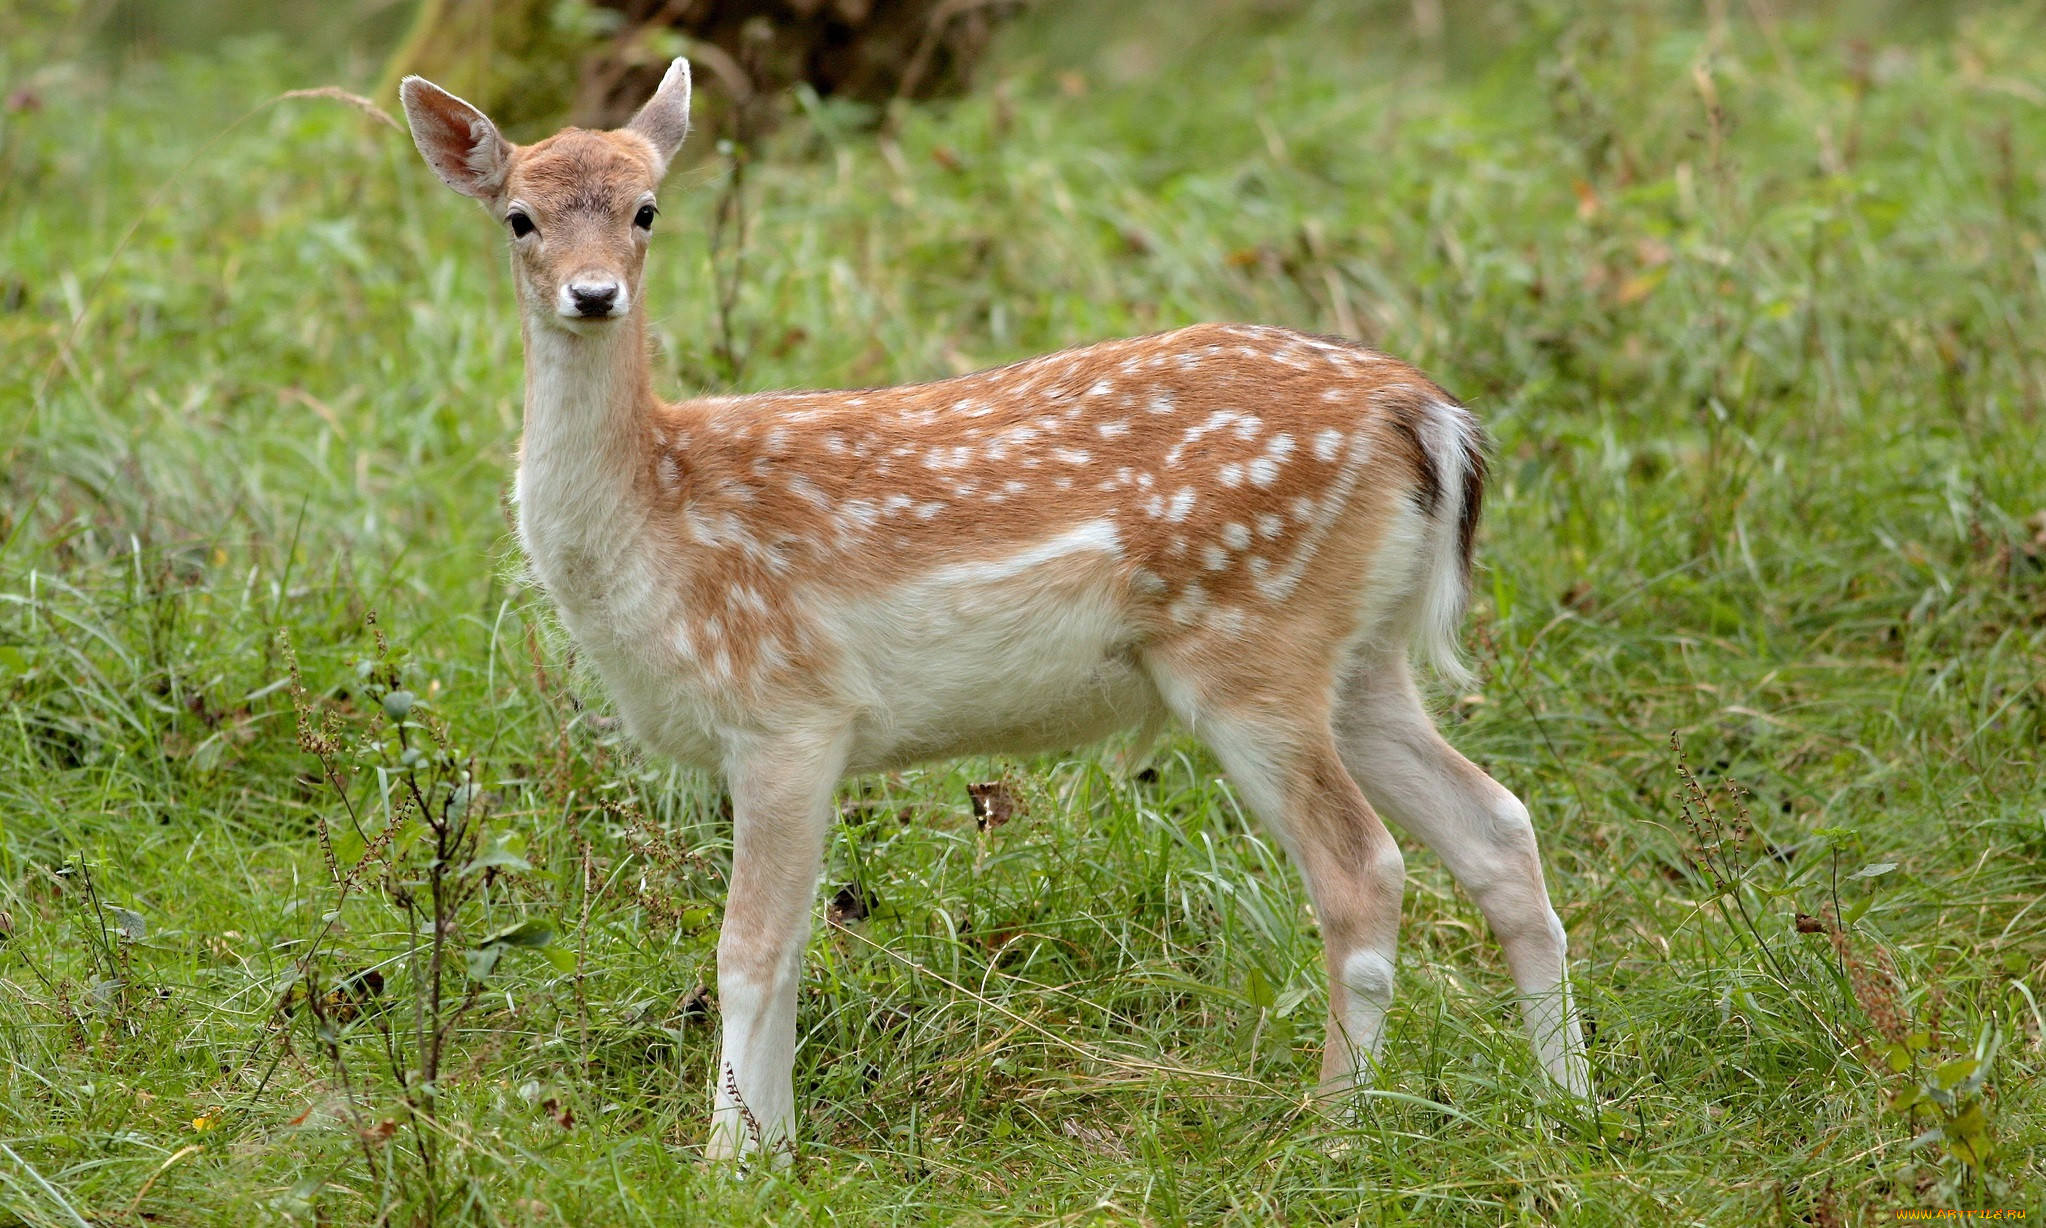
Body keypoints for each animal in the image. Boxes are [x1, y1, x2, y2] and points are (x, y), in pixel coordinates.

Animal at [394, 59, 1579, 1170]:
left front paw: (729, 1164)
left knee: (1363, 870)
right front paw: (779, 1152)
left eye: (647, 209)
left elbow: (749, 949)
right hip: (1360, 656)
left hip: (1252, 647)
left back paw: (1332, 1134)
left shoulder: (786, 709)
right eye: (519, 217)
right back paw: (1570, 1101)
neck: (658, 520)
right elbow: (794, 947)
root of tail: (1423, 413)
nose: (593, 294)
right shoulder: (798, 739)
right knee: (1500, 825)